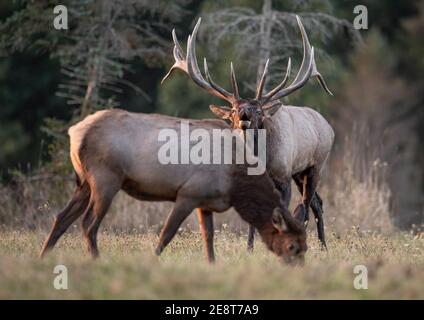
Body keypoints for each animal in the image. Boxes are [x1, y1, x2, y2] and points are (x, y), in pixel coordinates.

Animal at [39, 109, 306, 264]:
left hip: (85, 183)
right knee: (88, 224)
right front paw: (152, 261)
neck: (236, 183)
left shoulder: (205, 201)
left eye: (306, 247)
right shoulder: (188, 193)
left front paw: (211, 265)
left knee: (61, 218)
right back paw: (96, 260)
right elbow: (167, 233)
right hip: (106, 179)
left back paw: (43, 257)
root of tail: (75, 132)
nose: (297, 269)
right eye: (291, 246)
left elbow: (208, 238)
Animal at [162, 15, 334, 250]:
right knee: (317, 202)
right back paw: (323, 246)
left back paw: (316, 244)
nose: (244, 114)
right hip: (300, 172)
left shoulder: (283, 176)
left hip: (316, 165)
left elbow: (282, 212)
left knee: (306, 205)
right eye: (234, 110)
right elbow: (253, 219)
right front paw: (250, 248)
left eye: (259, 111)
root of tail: (329, 127)